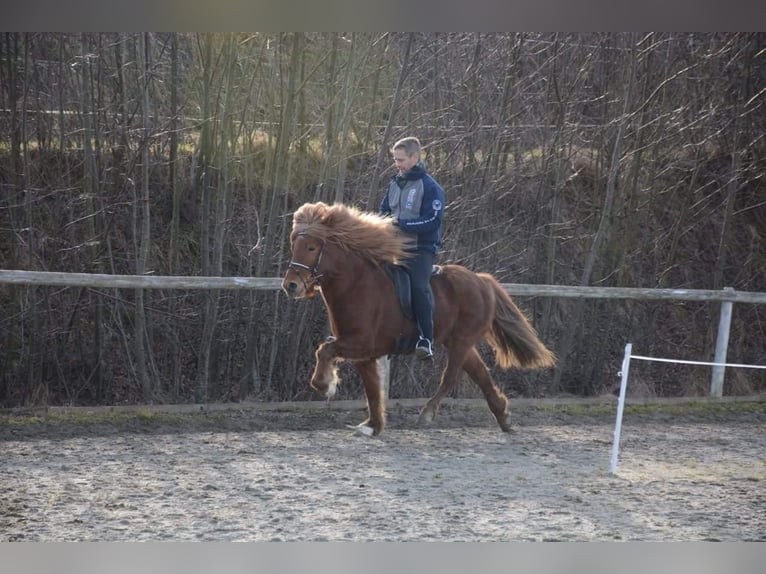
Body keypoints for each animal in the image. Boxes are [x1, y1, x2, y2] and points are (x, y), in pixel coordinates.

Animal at [281, 201, 555, 436]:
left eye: (311, 247)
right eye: (294, 245)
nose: (291, 286)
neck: (356, 284)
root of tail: (482, 280)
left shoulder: (360, 344)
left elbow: (325, 350)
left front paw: (326, 384)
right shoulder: (364, 353)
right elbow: (372, 389)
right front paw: (372, 425)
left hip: (461, 342)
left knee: (450, 377)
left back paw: (427, 414)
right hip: (459, 342)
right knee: (479, 373)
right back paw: (504, 417)